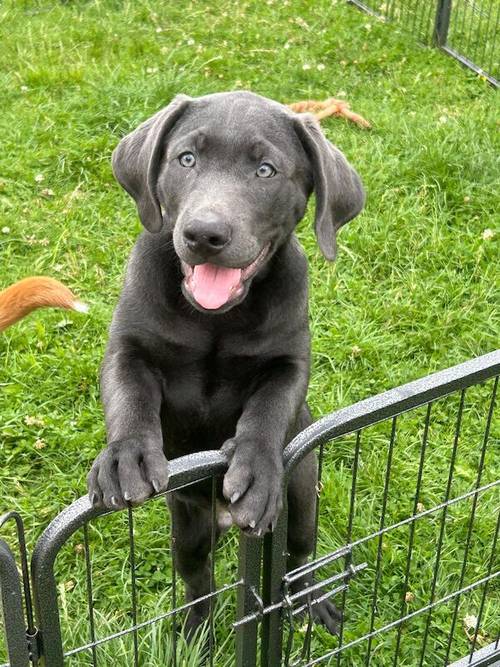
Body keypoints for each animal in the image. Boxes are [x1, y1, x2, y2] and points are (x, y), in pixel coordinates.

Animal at [88, 90, 366, 636]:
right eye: (186, 159)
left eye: (265, 170)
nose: (204, 233)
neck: (215, 318)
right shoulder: (129, 347)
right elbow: (129, 396)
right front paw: (127, 456)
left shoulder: (288, 362)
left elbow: (269, 410)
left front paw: (255, 471)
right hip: (188, 528)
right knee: (200, 580)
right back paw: (194, 632)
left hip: (302, 494)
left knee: (298, 557)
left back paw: (311, 600)